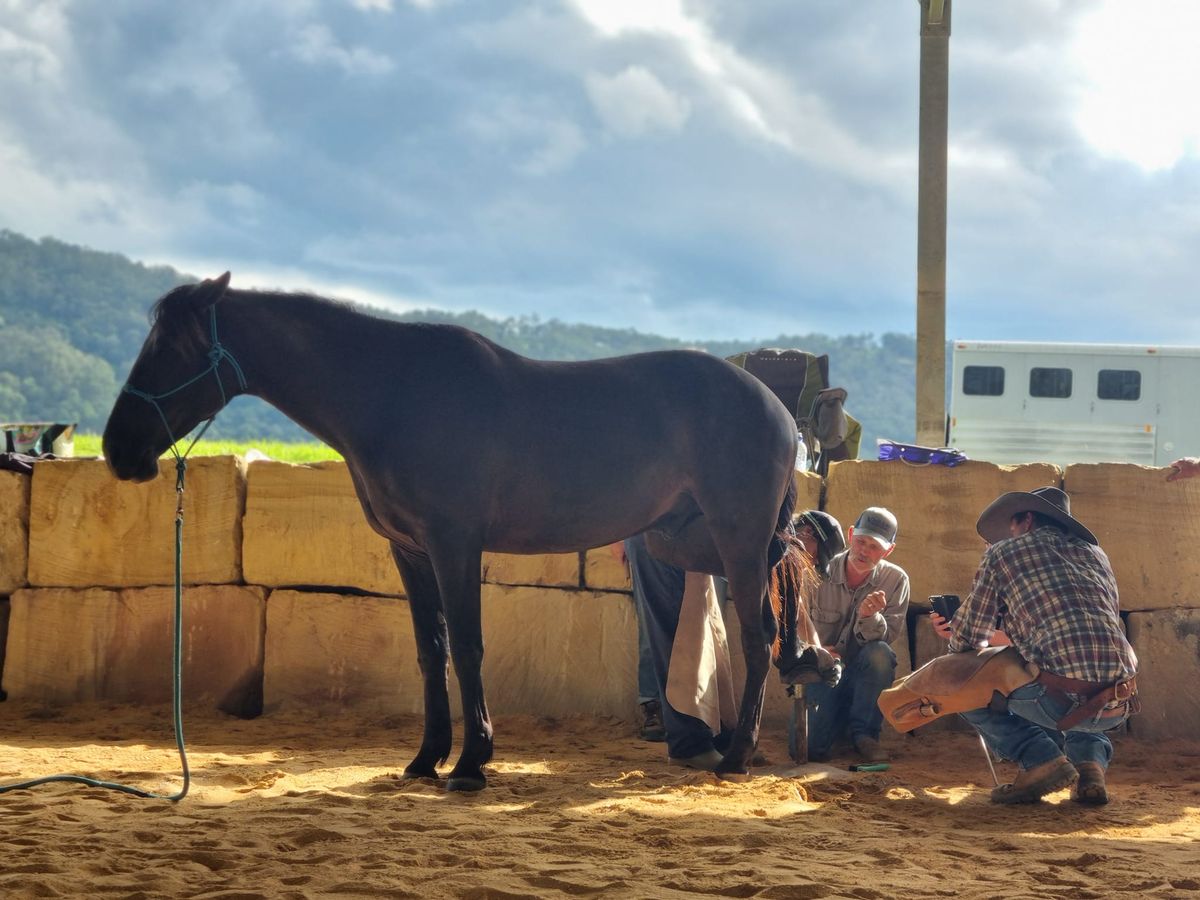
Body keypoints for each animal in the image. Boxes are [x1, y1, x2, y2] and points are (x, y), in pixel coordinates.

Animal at [103, 273, 830, 787]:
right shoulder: (409, 551)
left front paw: (473, 763)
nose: (117, 449)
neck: (392, 394)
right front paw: (426, 759)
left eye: (171, 348)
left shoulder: (454, 543)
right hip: (691, 539)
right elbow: (432, 652)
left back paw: (736, 757)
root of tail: (774, 407)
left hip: (735, 541)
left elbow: (470, 647)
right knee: (772, 611)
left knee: (758, 636)